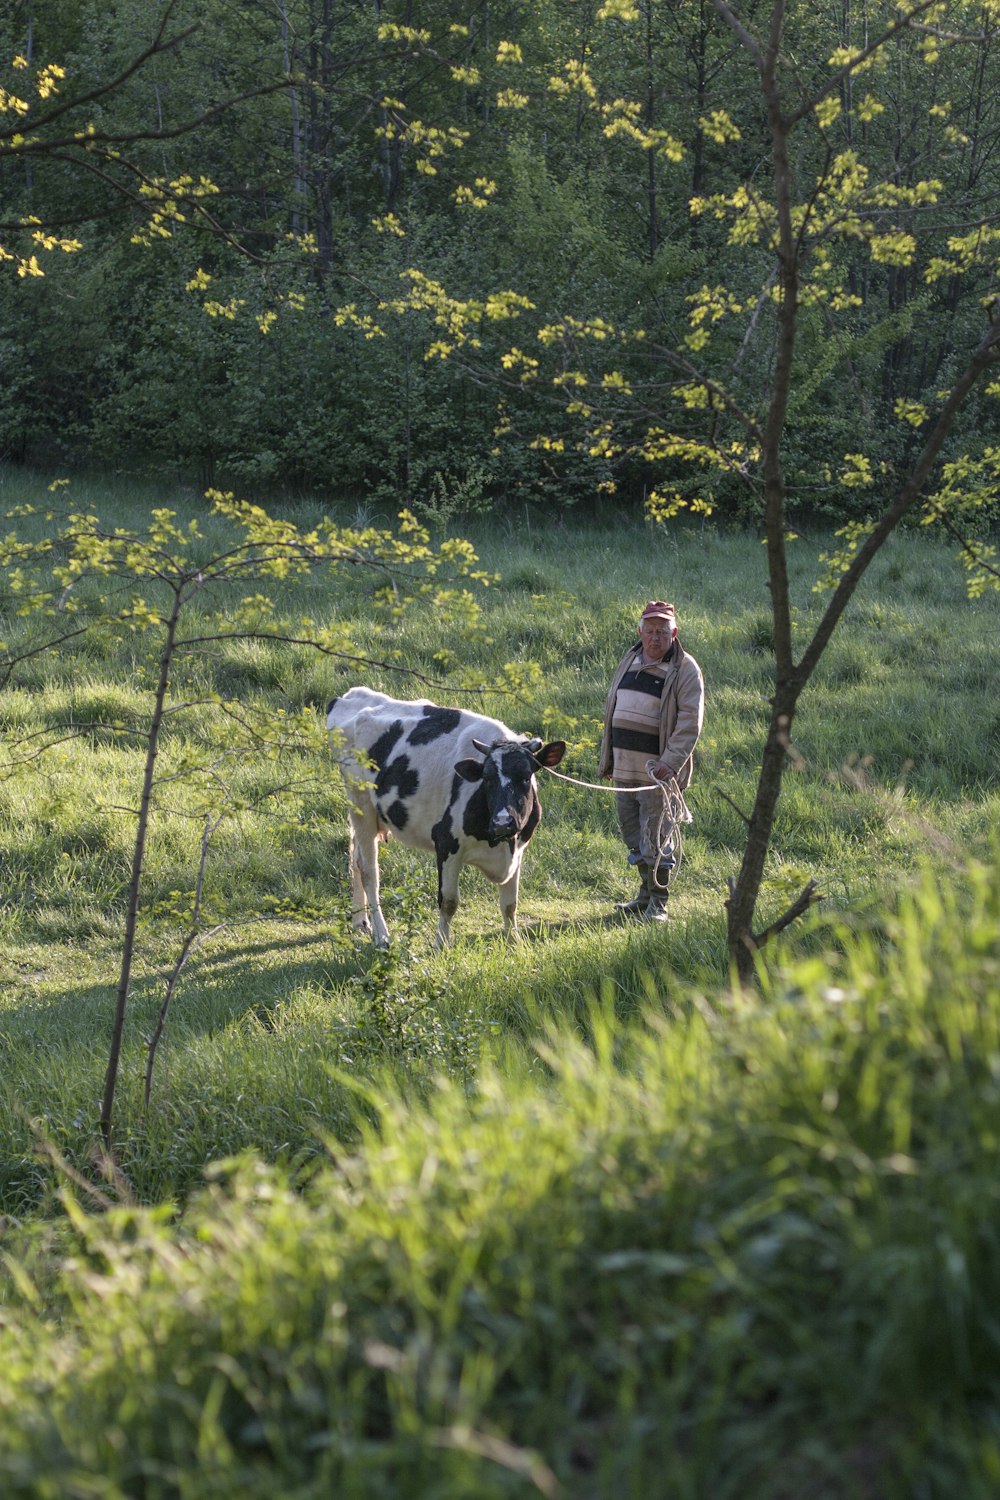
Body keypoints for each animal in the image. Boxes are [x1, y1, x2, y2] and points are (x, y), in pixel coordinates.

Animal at [326, 687, 566, 942]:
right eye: (487, 779)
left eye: (526, 777)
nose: (503, 822)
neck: (499, 843)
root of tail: (351, 695)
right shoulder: (446, 844)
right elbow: (449, 902)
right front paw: (441, 944)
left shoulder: (518, 850)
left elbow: (510, 904)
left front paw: (514, 941)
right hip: (361, 805)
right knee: (368, 870)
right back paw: (382, 935)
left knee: (354, 859)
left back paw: (360, 921)